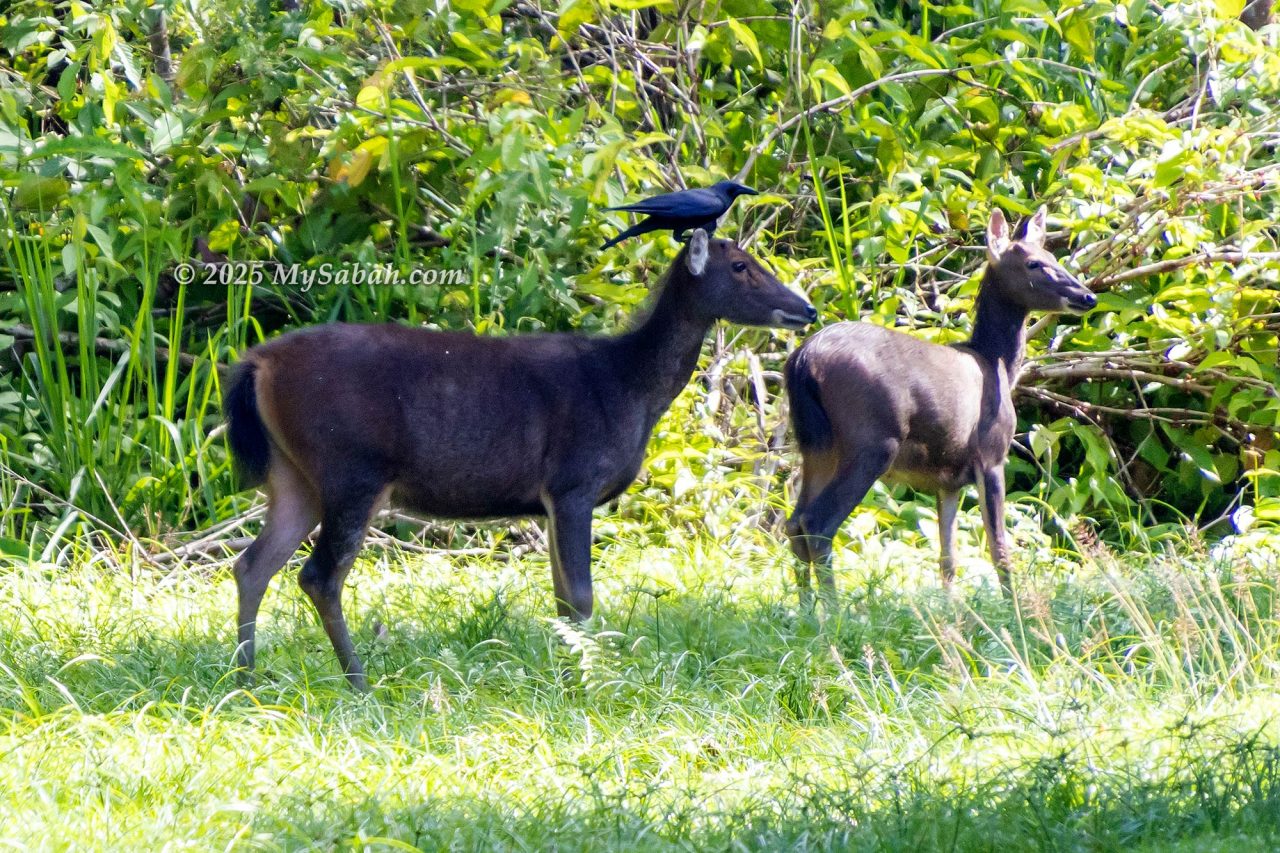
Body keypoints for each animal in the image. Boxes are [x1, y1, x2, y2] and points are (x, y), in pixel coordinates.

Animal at [223, 229, 816, 690]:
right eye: (740, 265)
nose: (806, 308)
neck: (628, 385)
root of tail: (257, 363)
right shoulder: (574, 481)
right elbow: (581, 597)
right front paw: (592, 682)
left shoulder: (549, 501)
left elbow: (560, 599)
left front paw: (567, 674)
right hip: (352, 467)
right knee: (319, 575)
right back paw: (358, 683)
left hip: (293, 475)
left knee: (253, 563)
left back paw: (247, 677)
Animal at [783, 207, 1096, 601]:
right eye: (1034, 263)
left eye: (1054, 257)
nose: (1088, 297)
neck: (996, 363)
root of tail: (803, 360)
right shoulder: (991, 454)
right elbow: (999, 549)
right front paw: (1016, 607)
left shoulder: (948, 479)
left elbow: (947, 557)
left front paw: (953, 608)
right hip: (871, 441)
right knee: (818, 524)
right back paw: (834, 610)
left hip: (815, 444)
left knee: (795, 522)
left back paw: (807, 607)